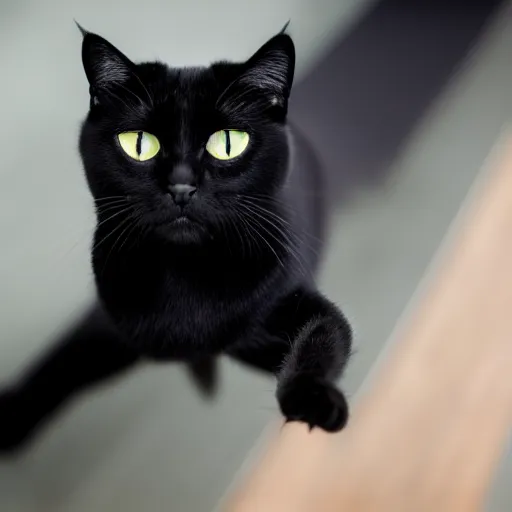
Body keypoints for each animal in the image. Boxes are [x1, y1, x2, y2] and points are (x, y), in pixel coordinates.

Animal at [0, 24, 352, 450]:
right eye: (138, 144)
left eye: (228, 142)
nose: (181, 186)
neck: (186, 276)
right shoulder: (107, 319)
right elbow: (58, 362)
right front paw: (9, 417)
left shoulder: (287, 300)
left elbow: (323, 335)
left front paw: (312, 399)